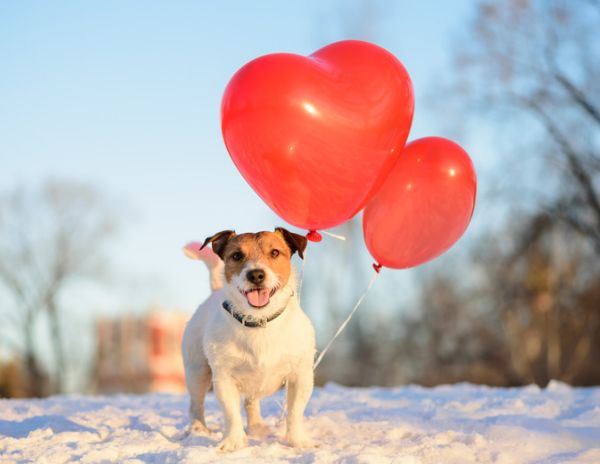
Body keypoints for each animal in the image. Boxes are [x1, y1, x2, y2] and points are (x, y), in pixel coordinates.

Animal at [180, 228, 316, 454]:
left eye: (275, 252)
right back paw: (198, 430)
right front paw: (232, 442)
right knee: (195, 405)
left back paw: (257, 427)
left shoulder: (301, 375)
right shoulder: (224, 379)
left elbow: (295, 412)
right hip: (196, 372)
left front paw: (298, 442)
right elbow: (231, 414)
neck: (259, 322)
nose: (256, 274)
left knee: (250, 403)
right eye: (236, 255)